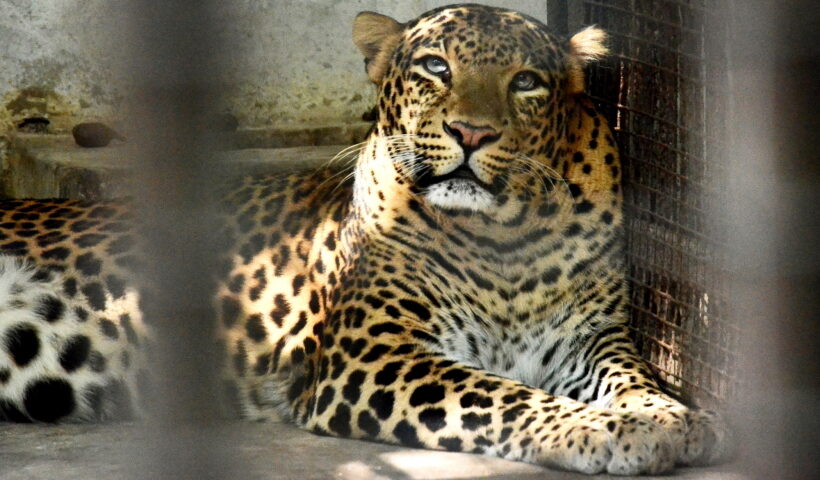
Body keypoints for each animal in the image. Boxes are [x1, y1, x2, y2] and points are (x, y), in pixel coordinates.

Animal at [0, 4, 732, 475]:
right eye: (436, 67)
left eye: (526, 81)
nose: (471, 133)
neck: (503, 237)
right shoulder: (372, 356)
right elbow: (500, 395)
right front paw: (599, 429)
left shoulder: (588, 337)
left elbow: (630, 372)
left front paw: (664, 415)